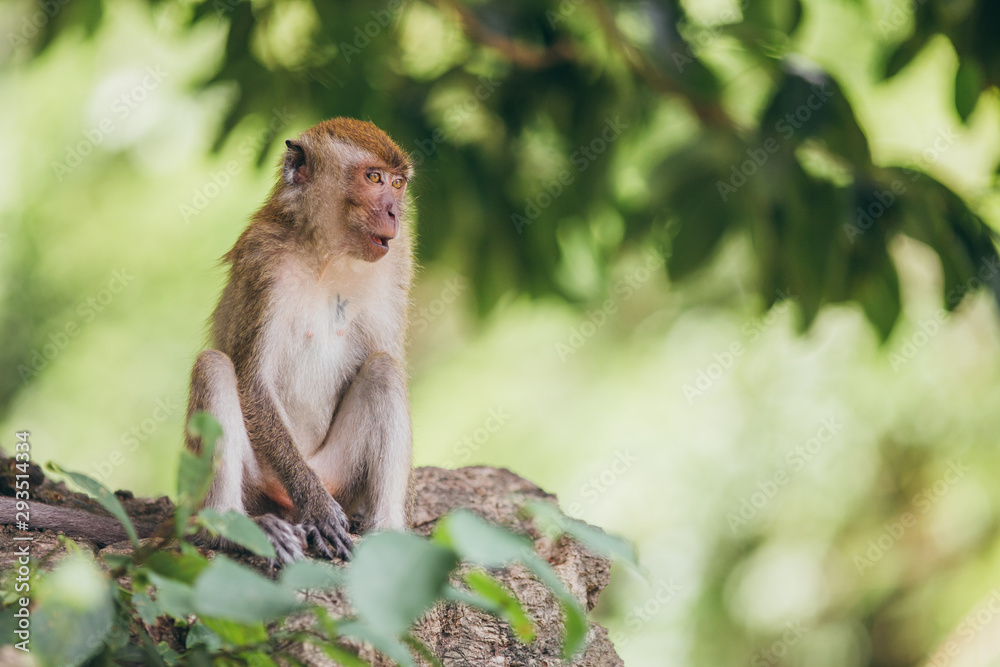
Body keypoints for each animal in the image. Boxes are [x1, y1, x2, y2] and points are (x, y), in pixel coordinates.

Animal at [1, 118, 415, 563]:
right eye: (373, 178)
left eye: (397, 183)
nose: (394, 212)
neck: (327, 253)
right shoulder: (262, 261)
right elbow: (251, 380)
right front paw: (318, 506)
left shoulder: (396, 263)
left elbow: (389, 357)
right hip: (260, 481)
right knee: (214, 366)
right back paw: (235, 526)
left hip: (336, 472)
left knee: (384, 369)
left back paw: (386, 532)